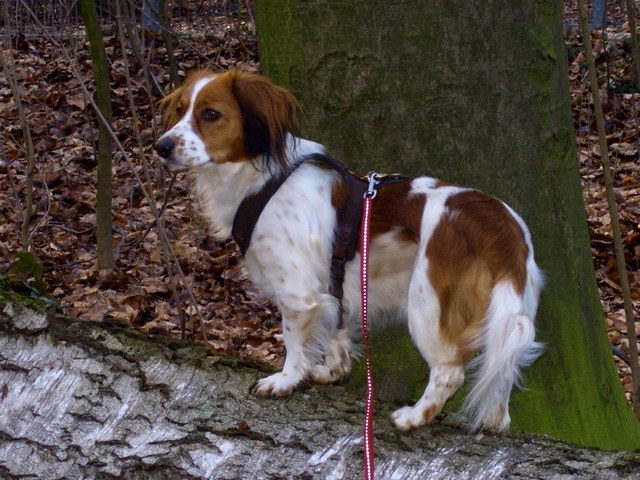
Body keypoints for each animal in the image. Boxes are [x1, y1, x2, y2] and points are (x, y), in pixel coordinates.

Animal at [152, 69, 544, 434]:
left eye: (211, 114)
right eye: (181, 110)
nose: (161, 146)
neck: (262, 181)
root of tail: (499, 223)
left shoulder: (297, 293)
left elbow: (293, 339)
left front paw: (286, 380)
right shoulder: (332, 283)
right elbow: (335, 331)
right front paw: (331, 370)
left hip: (427, 306)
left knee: (450, 373)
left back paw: (414, 417)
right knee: (503, 371)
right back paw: (493, 422)